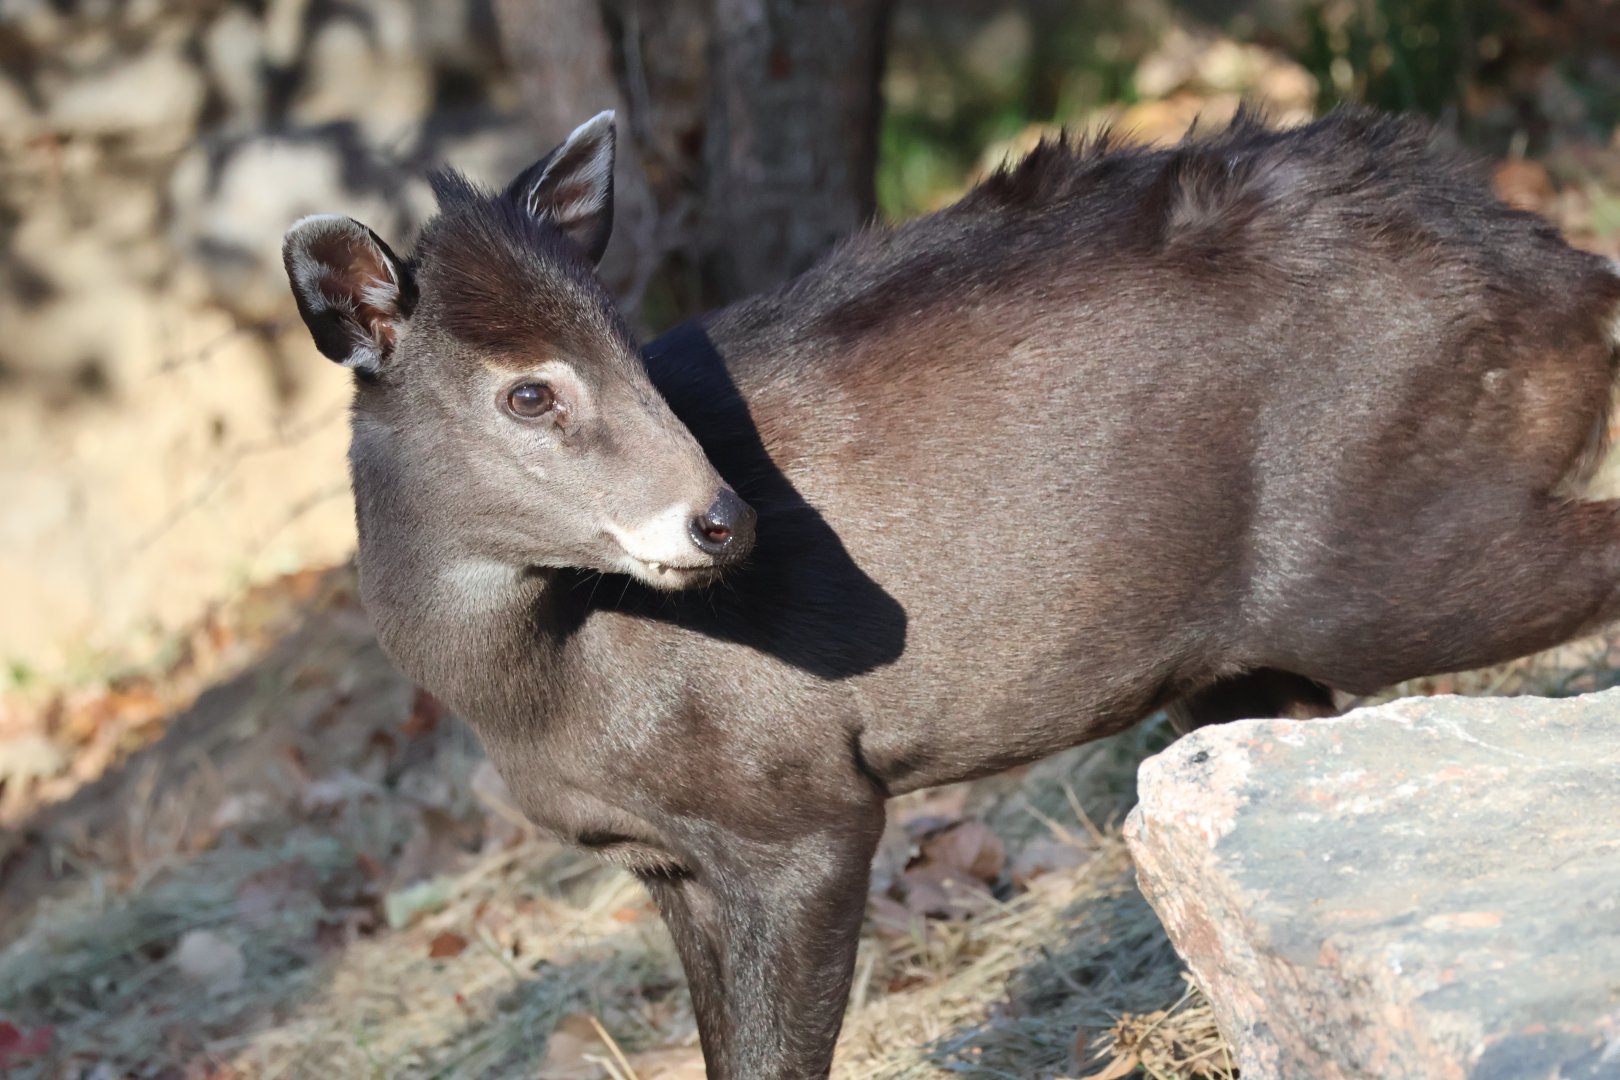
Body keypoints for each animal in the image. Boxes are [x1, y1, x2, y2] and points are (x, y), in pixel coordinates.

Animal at [282, 108, 1620, 1078]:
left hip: (1381, 546)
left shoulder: (801, 807)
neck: (549, 689)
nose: (725, 520)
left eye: (627, 338)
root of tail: (1561, 273)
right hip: (1246, 656)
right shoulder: (668, 858)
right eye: (527, 392)